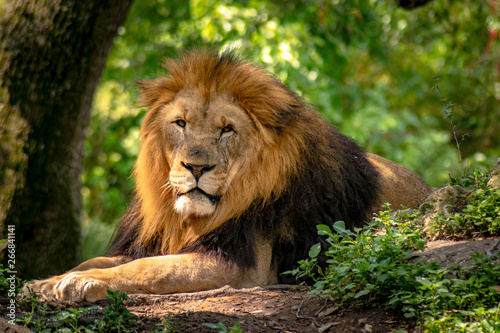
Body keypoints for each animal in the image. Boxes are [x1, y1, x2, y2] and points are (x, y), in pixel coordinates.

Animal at [25, 49, 434, 300]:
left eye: (226, 130)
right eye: (181, 124)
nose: (196, 167)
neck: (189, 219)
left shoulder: (245, 268)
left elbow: (150, 270)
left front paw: (80, 283)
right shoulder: (152, 241)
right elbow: (100, 260)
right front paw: (43, 281)